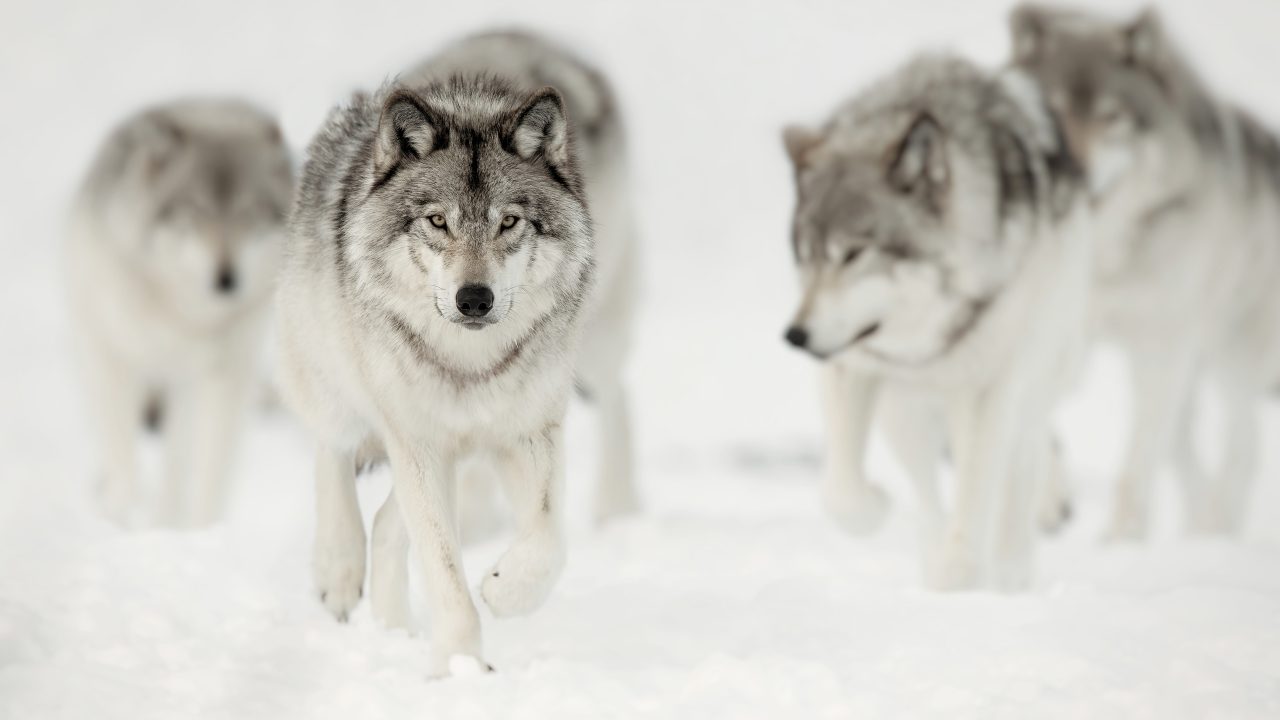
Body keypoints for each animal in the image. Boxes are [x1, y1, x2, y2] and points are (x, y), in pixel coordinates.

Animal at [66, 99, 293, 527]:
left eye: (249, 213)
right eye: (196, 211)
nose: (226, 279)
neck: (180, 311)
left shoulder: (207, 376)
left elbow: (196, 467)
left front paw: (188, 528)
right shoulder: (115, 358)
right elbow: (123, 451)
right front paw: (122, 518)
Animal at [275, 61, 595, 673]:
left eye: (509, 222)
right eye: (438, 221)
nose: (474, 299)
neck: (470, 365)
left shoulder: (528, 431)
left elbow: (551, 538)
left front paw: (505, 590)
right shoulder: (416, 441)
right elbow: (445, 570)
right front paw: (460, 667)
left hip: (453, 456)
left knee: (386, 524)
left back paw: (393, 628)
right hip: (340, 388)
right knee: (332, 453)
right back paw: (338, 569)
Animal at [403, 31, 641, 526]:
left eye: (509, 221)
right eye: (437, 221)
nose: (474, 299)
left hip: (590, 334)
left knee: (616, 398)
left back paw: (617, 512)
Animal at [782, 55, 1090, 589]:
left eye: (853, 253)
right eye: (806, 256)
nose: (795, 336)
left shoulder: (988, 390)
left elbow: (979, 489)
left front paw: (963, 575)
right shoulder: (854, 363)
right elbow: (840, 492)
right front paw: (877, 508)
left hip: (1028, 385)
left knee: (1022, 468)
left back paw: (1010, 571)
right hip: (905, 413)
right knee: (928, 491)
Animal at [1010, 5, 1280, 538]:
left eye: (1111, 117)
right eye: (1051, 110)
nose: (1074, 169)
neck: (1100, 256)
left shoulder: (1159, 349)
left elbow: (1135, 470)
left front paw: (1120, 545)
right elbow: (1039, 426)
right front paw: (1049, 501)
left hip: (1228, 362)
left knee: (1242, 452)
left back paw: (1214, 534)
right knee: (1187, 459)